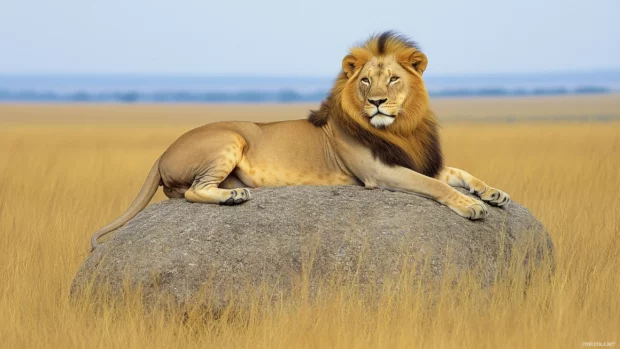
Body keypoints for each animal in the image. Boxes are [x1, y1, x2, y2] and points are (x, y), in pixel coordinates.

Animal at [92, 31, 508, 250]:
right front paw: (471, 206)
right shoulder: (380, 172)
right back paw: (232, 196)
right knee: (193, 190)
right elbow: (435, 185)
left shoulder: (418, 159)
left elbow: (459, 173)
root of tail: (163, 152)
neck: (399, 128)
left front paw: (494, 193)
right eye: (365, 81)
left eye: (393, 79)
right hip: (229, 138)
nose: (376, 102)